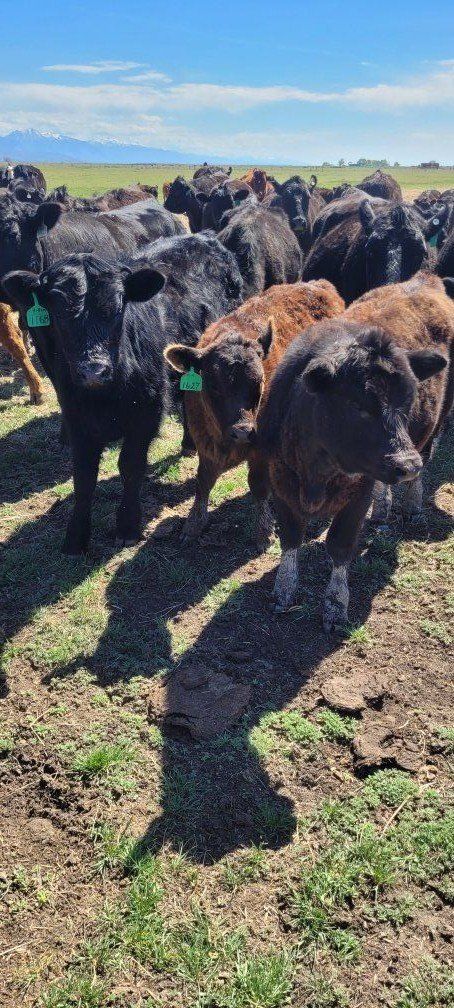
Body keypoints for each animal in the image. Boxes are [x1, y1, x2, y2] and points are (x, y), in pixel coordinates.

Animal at [2, 232, 243, 553]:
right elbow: (84, 475)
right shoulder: (76, 418)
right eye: (58, 313)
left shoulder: (146, 412)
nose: (94, 370)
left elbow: (130, 465)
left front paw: (128, 525)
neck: (104, 398)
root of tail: (202, 237)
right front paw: (76, 535)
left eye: (117, 309)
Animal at [165, 280, 345, 547]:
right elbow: (203, 482)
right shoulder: (204, 443)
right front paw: (193, 524)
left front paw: (263, 530)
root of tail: (319, 285)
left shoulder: (260, 450)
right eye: (213, 386)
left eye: (259, 383)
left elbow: (258, 485)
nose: (242, 432)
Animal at [258, 271, 453, 631]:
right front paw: (284, 589)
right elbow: (290, 536)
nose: (406, 464)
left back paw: (412, 503)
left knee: (427, 454)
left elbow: (340, 544)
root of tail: (425, 279)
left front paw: (336, 604)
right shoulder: (280, 479)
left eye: (409, 400)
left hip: (437, 422)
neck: (317, 473)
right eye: (357, 405)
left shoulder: (356, 494)